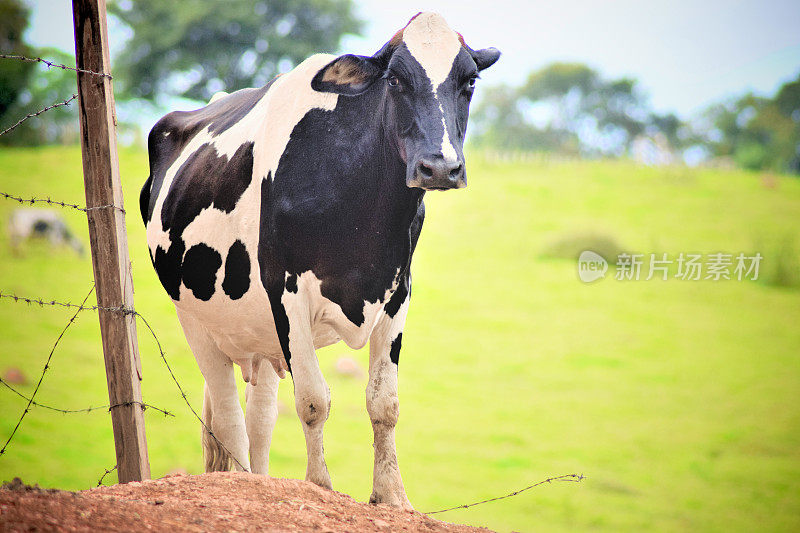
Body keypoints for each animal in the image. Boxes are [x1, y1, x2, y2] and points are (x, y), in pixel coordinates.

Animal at [141, 12, 496, 508]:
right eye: (396, 79)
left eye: (469, 82)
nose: (440, 167)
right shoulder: (285, 290)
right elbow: (312, 401)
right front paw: (319, 486)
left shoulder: (398, 291)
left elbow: (384, 402)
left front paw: (392, 495)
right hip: (195, 318)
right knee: (229, 417)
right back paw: (243, 481)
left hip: (258, 334)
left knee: (260, 418)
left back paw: (261, 479)